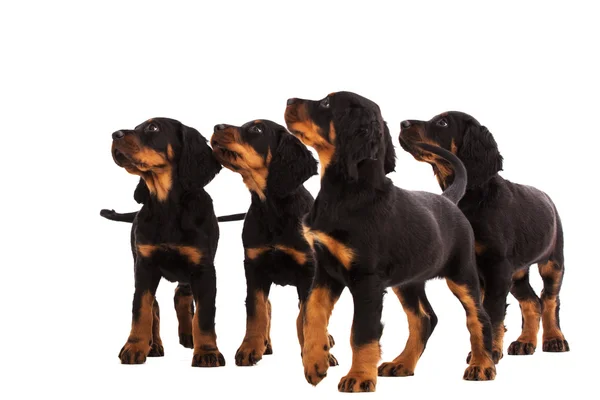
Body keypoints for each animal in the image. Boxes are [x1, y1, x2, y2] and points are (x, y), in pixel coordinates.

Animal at [105, 117, 227, 368]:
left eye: (153, 128)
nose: (114, 135)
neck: (167, 207)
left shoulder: (203, 268)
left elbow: (204, 314)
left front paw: (207, 352)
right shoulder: (145, 266)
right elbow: (141, 310)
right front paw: (134, 347)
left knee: (182, 296)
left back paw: (189, 335)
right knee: (155, 307)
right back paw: (154, 345)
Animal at [209, 120, 338, 368]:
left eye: (256, 129)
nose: (216, 126)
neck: (272, 209)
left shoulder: (308, 270)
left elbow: (306, 315)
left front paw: (315, 353)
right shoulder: (254, 266)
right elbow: (257, 309)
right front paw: (250, 347)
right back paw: (265, 342)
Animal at [286, 91, 496, 394]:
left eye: (326, 103)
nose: (289, 100)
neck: (347, 192)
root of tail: (448, 199)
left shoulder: (367, 280)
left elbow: (362, 332)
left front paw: (359, 377)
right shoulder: (326, 270)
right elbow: (312, 314)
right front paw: (315, 363)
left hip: (462, 274)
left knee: (478, 317)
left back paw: (481, 365)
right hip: (408, 280)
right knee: (425, 318)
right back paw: (402, 364)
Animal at [400, 111, 568, 360]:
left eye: (443, 122)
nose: (402, 124)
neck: (473, 198)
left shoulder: (496, 267)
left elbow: (493, 312)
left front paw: (491, 352)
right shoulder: (479, 271)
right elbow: (481, 314)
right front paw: (482, 353)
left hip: (552, 262)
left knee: (549, 299)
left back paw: (555, 339)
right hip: (517, 274)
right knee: (532, 302)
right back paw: (524, 342)